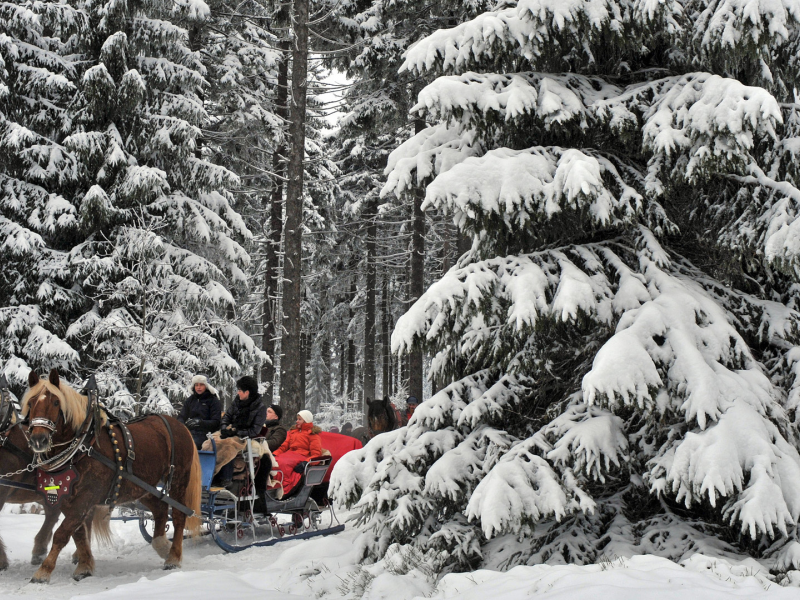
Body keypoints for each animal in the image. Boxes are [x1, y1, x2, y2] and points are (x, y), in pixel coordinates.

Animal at [24, 370, 203, 580]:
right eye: (31, 403)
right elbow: (77, 533)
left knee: (178, 515)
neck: (84, 445)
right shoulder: (68, 499)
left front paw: (44, 571)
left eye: (55, 402)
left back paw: (173, 557)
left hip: (178, 479)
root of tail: (180, 426)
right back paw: (162, 546)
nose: (38, 440)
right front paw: (85, 565)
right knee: (160, 509)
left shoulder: (85, 496)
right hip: (142, 486)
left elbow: (62, 533)